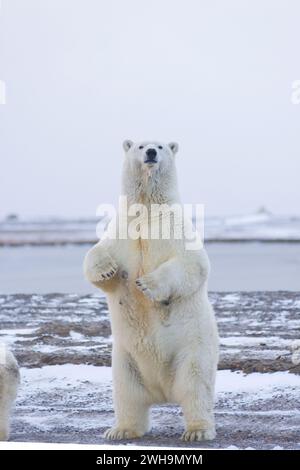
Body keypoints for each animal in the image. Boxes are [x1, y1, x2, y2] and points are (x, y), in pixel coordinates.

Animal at [83, 140, 219, 440]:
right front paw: (108, 270)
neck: (147, 211)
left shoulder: (178, 231)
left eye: (161, 145)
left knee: (196, 388)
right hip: (125, 361)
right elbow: (96, 255)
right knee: (127, 395)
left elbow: (192, 264)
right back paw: (121, 430)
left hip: (192, 351)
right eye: (140, 145)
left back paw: (197, 431)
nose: (151, 153)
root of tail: (163, 392)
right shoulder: (120, 232)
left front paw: (146, 284)